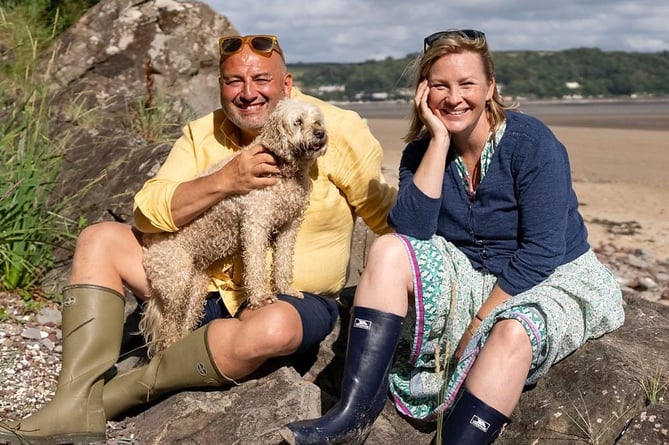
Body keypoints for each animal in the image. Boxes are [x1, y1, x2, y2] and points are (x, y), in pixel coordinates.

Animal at [140, 99, 328, 356]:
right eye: (297, 122)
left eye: (317, 120)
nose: (320, 133)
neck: (286, 172)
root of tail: (149, 247)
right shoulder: (255, 222)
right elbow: (256, 265)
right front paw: (261, 298)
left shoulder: (289, 227)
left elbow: (283, 263)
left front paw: (286, 289)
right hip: (175, 281)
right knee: (168, 327)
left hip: (195, 288)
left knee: (185, 323)